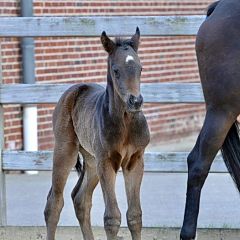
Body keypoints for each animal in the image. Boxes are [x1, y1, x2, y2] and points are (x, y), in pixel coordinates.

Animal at [43, 28, 150, 240]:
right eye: (116, 71)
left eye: (140, 68)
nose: (136, 101)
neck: (126, 123)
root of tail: (74, 89)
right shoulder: (107, 162)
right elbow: (112, 218)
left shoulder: (135, 161)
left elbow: (135, 216)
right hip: (66, 151)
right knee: (54, 203)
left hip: (92, 161)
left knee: (80, 199)